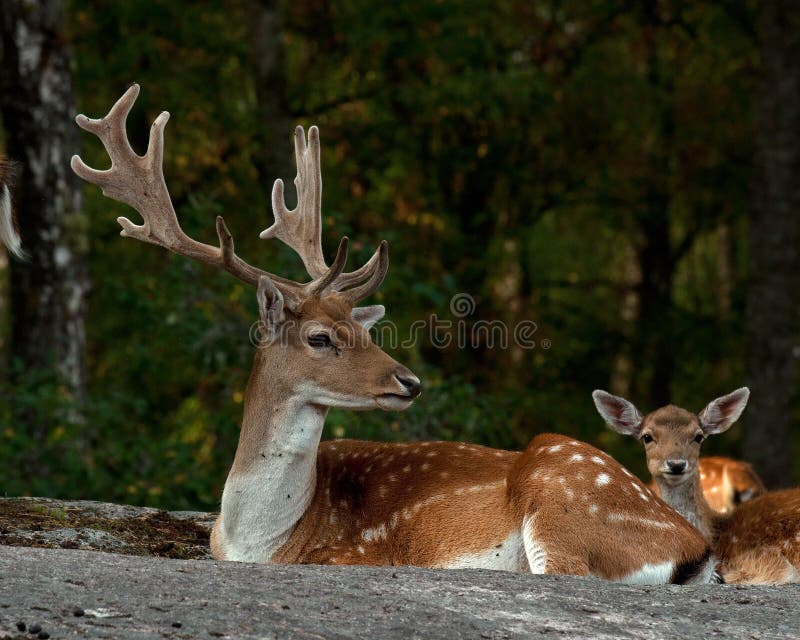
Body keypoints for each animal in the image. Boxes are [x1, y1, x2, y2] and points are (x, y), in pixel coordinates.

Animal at [73, 85, 720, 584]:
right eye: (320, 337)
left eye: (358, 330)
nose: (409, 382)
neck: (256, 537)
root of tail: (697, 548)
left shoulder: (353, 554)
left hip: (560, 502)